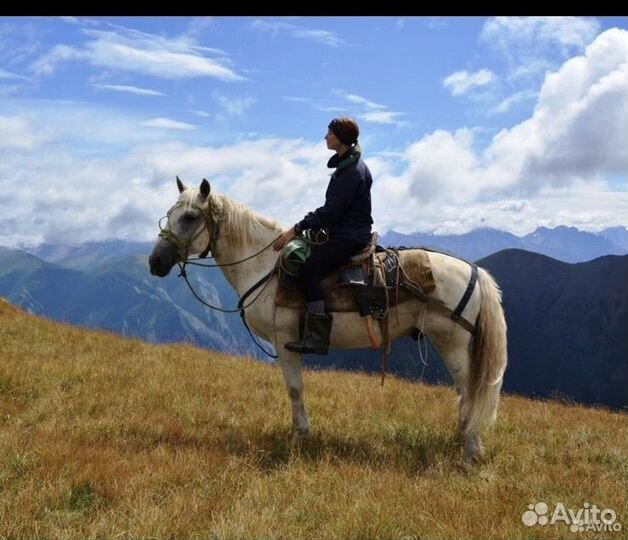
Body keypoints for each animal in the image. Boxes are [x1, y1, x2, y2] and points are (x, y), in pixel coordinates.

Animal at [150, 178, 508, 464]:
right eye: (169, 214)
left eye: (190, 217)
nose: (155, 262)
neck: (265, 267)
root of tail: (474, 271)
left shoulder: (285, 341)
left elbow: (294, 388)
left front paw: (299, 436)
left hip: (452, 342)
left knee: (469, 390)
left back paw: (471, 449)